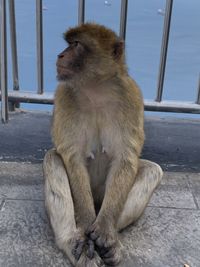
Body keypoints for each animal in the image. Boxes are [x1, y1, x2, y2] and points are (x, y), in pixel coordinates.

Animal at [43, 23, 163, 267]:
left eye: (76, 44)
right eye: (69, 43)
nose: (61, 55)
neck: (95, 89)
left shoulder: (131, 97)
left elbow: (125, 159)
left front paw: (106, 231)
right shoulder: (64, 96)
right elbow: (72, 158)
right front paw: (85, 228)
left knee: (152, 170)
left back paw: (111, 241)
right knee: (52, 159)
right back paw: (73, 241)